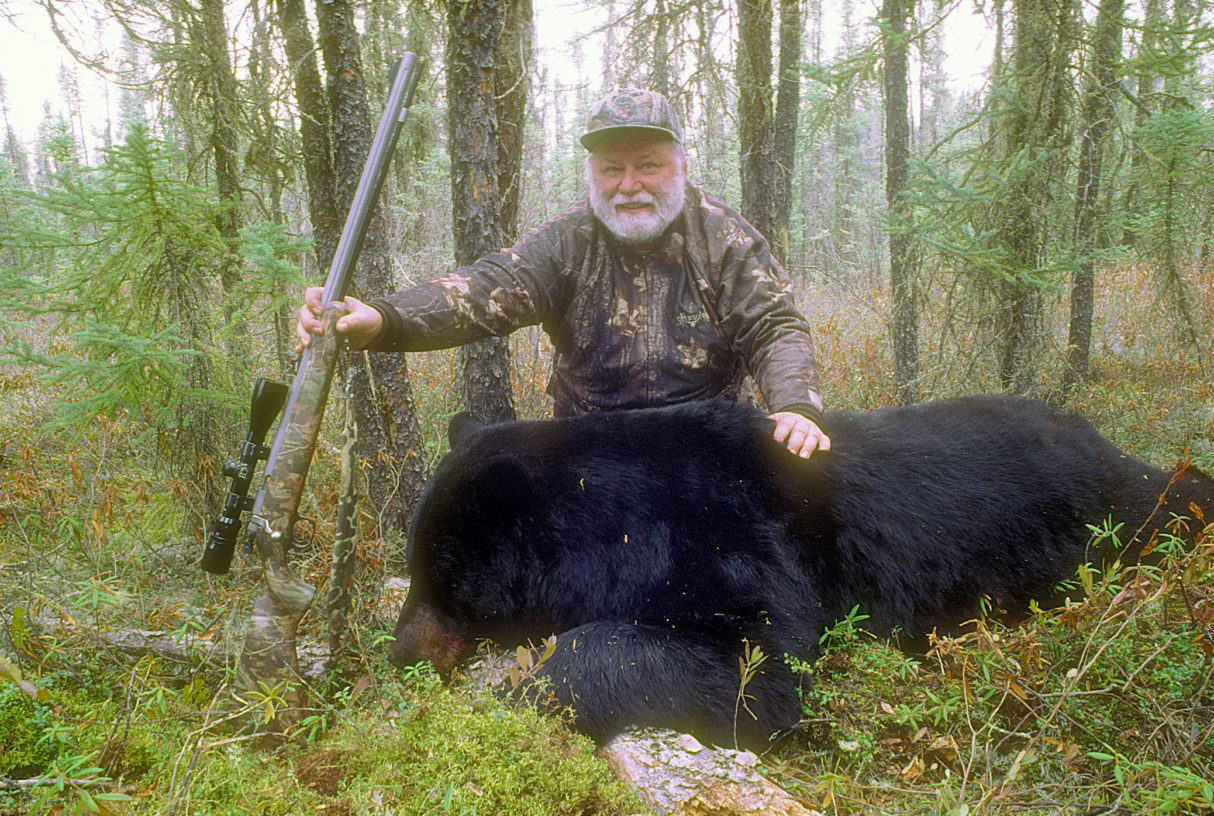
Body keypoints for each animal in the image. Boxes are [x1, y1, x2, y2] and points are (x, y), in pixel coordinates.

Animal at [386, 396, 1214, 750]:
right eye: (416, 566)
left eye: (444, 580)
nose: (396, 661)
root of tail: (1100, 437)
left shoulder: (734, 535)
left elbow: (758, 666)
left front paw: (524, 690)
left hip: (1107, 511)